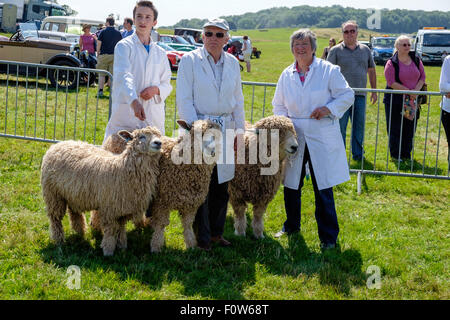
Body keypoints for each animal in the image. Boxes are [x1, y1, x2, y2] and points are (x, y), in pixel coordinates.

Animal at [40, 126, 163, 256]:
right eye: (141, 136)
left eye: (159, 136)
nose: (158, 143)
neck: (122, 169)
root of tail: (59, 144)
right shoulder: (109, 209)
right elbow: (111, 230)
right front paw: (108, 250)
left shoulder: (123, 208)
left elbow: (121, 228)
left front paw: (122, 246)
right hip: (53, 194)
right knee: (55, 218)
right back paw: (58, 240)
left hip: (72, 194)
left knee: (74, 212)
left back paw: (80, 232)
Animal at [102, 120, 221, 252]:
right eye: (197, 134)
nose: (212, 151)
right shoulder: (162, 201)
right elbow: (161, 224)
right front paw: (156, 247)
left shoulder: (191, 204)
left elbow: (187, 225)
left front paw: (191, 245)